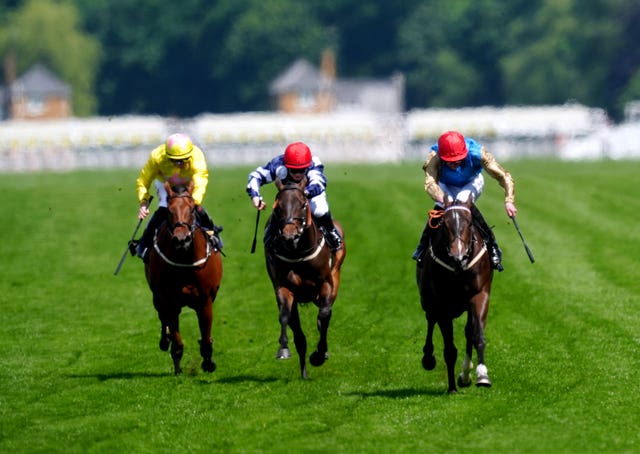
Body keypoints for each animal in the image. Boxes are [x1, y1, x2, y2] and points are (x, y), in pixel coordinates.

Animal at [144, 181, 224, 376]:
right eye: (169, 211)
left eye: (192, 209)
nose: (182, 240)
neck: (185, 259)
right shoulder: (168, 299)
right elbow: (177, 340)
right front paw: (178, 367)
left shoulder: (205, 301)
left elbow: (205, 338)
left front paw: (208, 362)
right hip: (157, 297)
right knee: (162, 317)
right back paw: (165, 340)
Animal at [264, 177, 348, 380]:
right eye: (278, 207)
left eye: (303, 204)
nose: (289, 234)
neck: (297, 252)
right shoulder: (283, 287)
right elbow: (284, 316)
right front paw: (283, 349)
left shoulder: (326, 283)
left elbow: (324, 316)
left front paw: (319, 354)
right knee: (298, 331)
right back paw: (303, 372)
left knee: (324, 316)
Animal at [416, 199, 496, 394]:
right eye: (444, 224)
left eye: (469, 223)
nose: (457, 256)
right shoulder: (442, 306)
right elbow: (449, 349)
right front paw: (451, 387)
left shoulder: (479, 294)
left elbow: (477, 335)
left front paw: (482, 375)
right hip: (428, 302)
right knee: (430, 320)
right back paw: (428, 358)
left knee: (468, 331)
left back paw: (466, 374)